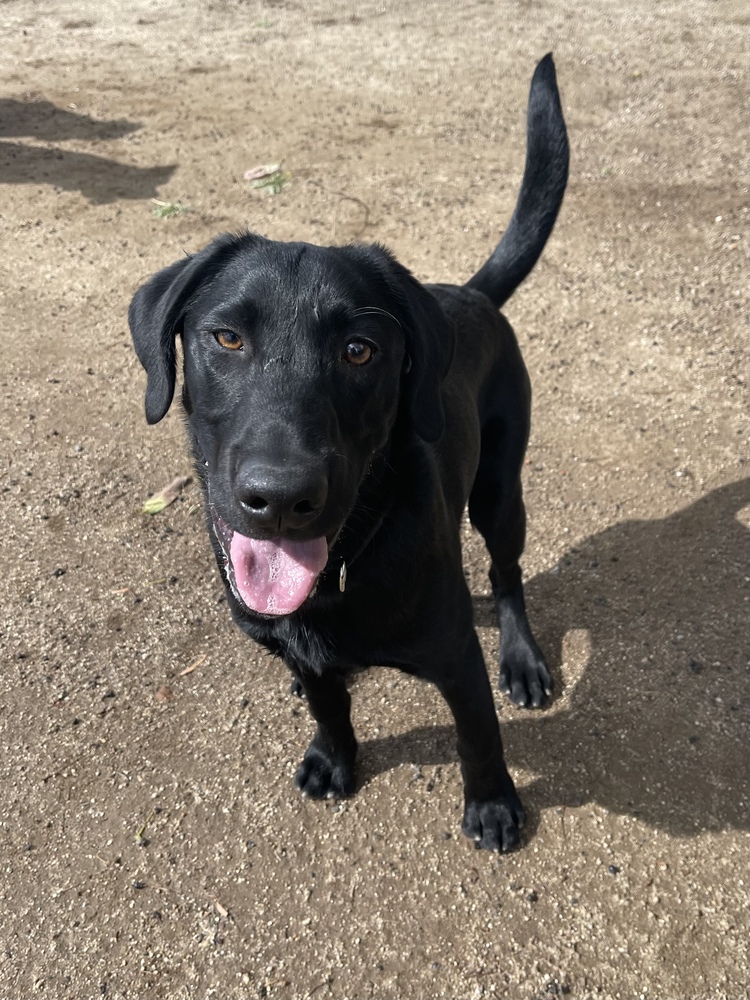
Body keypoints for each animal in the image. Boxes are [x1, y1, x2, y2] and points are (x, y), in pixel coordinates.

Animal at [131, 56, 568, 852]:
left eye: (360, 350)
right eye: (226, 338)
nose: (280, 498)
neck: (339, 572)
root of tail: (471, 295)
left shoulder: (456, 656)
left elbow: (477, 734)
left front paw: (492, 804)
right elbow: (328, 703)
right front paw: (333, 755)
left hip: (499, 489)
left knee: (507, 573)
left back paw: (521, 660)